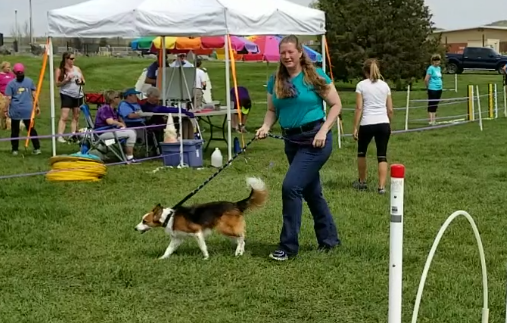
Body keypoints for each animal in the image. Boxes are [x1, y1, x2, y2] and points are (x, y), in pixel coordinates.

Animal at [135, 177, 270, 260]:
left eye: (144, 221)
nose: (135, 228)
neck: (169, 217)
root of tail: (235, 204)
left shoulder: (197, 232)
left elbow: (203, 247)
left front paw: (206, 258)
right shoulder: (177, 239)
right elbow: (168, 250)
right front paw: (162, 258)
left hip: (224, 228)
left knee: (241, 237)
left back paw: (238, 251)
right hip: (228, 230)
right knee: (241, 239)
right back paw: (240, 252)